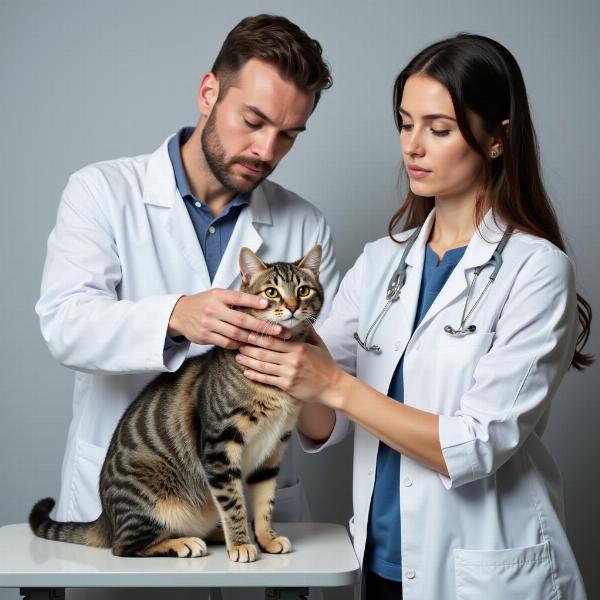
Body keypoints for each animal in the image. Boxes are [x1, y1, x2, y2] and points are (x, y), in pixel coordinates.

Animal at [29, 244, 324, 564]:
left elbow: (264, 503)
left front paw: (266, 537)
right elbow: (233, 503)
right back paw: (186, 543)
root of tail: (106, 518)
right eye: (271, 292)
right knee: (124, 547)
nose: (293, 306)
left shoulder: (272, 450)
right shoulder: (220, 445)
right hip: (151, 503)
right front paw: (241, 544)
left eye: (304, 290)